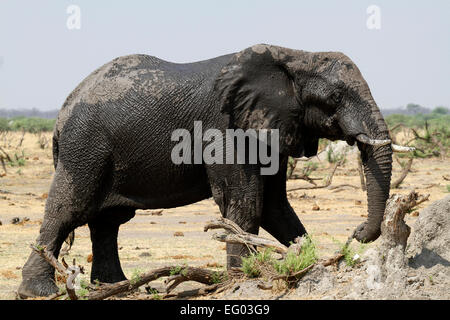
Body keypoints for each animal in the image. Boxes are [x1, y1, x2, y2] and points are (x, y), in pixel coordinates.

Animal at [17, 44, 398, 298]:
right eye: (334, 98)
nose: (357, 232)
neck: (293, 55)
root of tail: (63, 109)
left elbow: (274, 205)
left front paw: (307, 262)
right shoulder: (226, 126)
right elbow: (245, 199)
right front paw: (242, 280)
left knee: (107, 222)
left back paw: (115, 287)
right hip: (84, 148)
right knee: (68, 210)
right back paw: (39, 292)